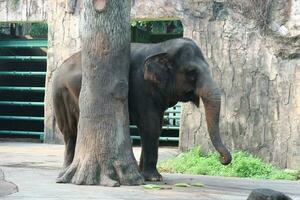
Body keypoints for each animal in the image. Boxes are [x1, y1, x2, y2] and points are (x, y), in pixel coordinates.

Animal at [52, 37, 232, 181]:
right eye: (191, 72)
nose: (222, 159)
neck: (161, 47)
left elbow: (156, 126)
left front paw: (143, 174)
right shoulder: (141, 87)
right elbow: (150, 125)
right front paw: (154, 178)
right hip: (60, 95)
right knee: (70, 132)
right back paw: (63, 173)